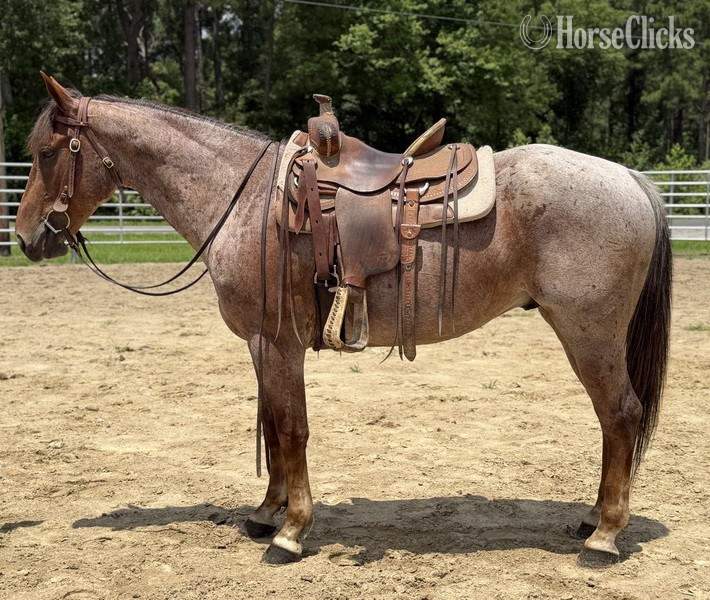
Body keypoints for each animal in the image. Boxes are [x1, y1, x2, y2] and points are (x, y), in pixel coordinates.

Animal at [15, 74, 671, 567]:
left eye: (46, 153)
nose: (25, 239)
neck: (243, 200)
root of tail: (629, 178)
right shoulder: (263, 345)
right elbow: (273, 426)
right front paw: (265, 513)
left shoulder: (276, 342)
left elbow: (292, 430)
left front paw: (290, 532)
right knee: (614, 422)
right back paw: (592, 519)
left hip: (589, 332)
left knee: (621, 415)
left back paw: (605, 537)